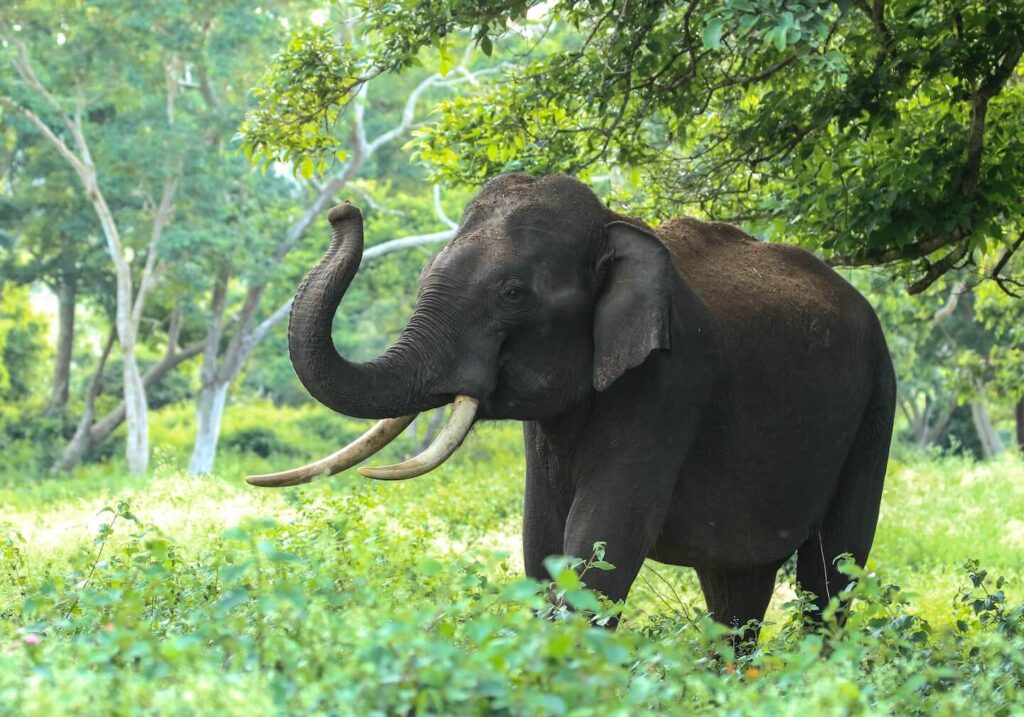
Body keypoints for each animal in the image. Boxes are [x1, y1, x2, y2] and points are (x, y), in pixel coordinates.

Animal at [248, 173, 896, 640]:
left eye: (513, 293)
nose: (342, 210)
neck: (615, 225)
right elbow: (542, 543)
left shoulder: (670, 384)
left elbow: (601, 543)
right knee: (736, 589)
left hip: (876, 404)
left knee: (832, 571)